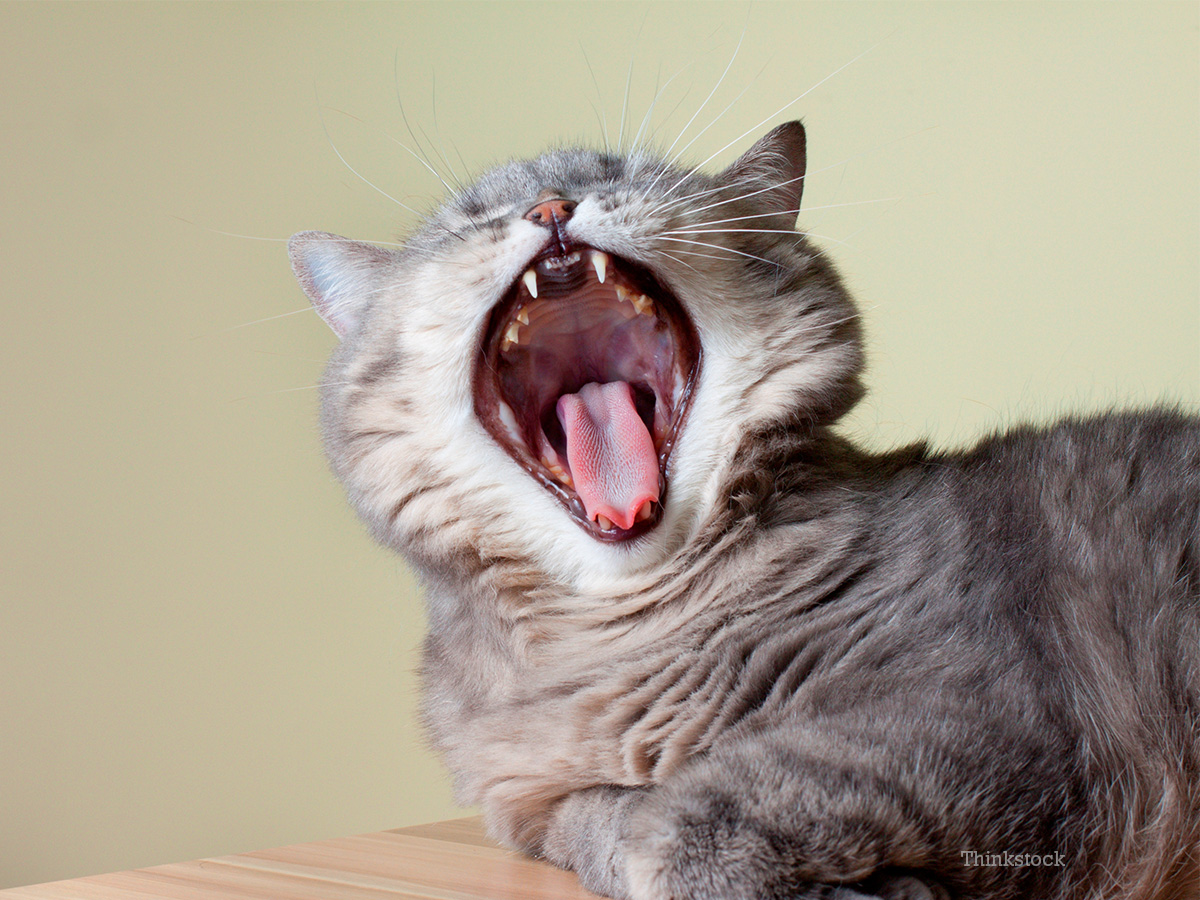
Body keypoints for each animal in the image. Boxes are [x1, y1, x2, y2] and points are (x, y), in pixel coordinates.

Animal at [285, 121, 1195, 900]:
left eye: (620, 175)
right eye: (469, 221)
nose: (550, 207)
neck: (624, 635)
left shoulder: (973, 713)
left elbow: (699, 815)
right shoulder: (531, 804)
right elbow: (591, 823)